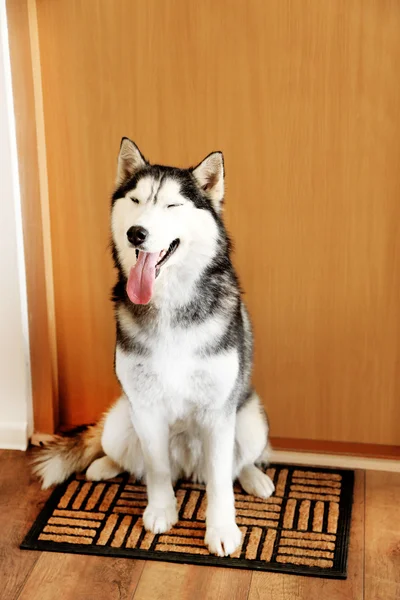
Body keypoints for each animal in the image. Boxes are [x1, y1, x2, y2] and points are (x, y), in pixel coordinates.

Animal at [34, 138, 274, 556]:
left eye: (172, 205)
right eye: (135, 200)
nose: (137, 233)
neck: (170, 304)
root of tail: (189, 469)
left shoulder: (219, 413)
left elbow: (220, 483)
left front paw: (222, 529)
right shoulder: (145, 409)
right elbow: (156, 469)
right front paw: (162, 511)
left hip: (251, 420)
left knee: (238, 463)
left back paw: (254, 479)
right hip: (120, 421)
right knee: (129, 460)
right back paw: (102, 466)